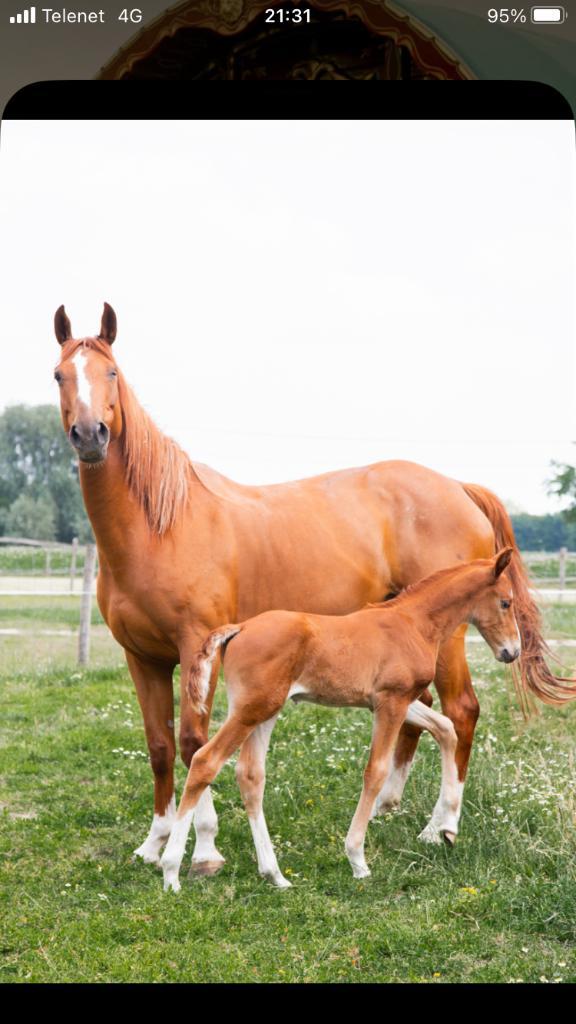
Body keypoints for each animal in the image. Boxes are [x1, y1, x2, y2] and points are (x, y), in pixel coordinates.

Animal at [160, 548, 520, 892]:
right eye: (506, 602)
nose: (512, 651)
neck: (412, 623)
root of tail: (241, 627)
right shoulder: (391, 701)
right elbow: (376, 771)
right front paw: (357, 858)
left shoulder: (393, 701)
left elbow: (445, 729)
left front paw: (444, 828)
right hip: (252, 710)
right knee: (205, 761)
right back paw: (171, 872)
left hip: (264, 711)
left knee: (250, 776)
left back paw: (274, 874)